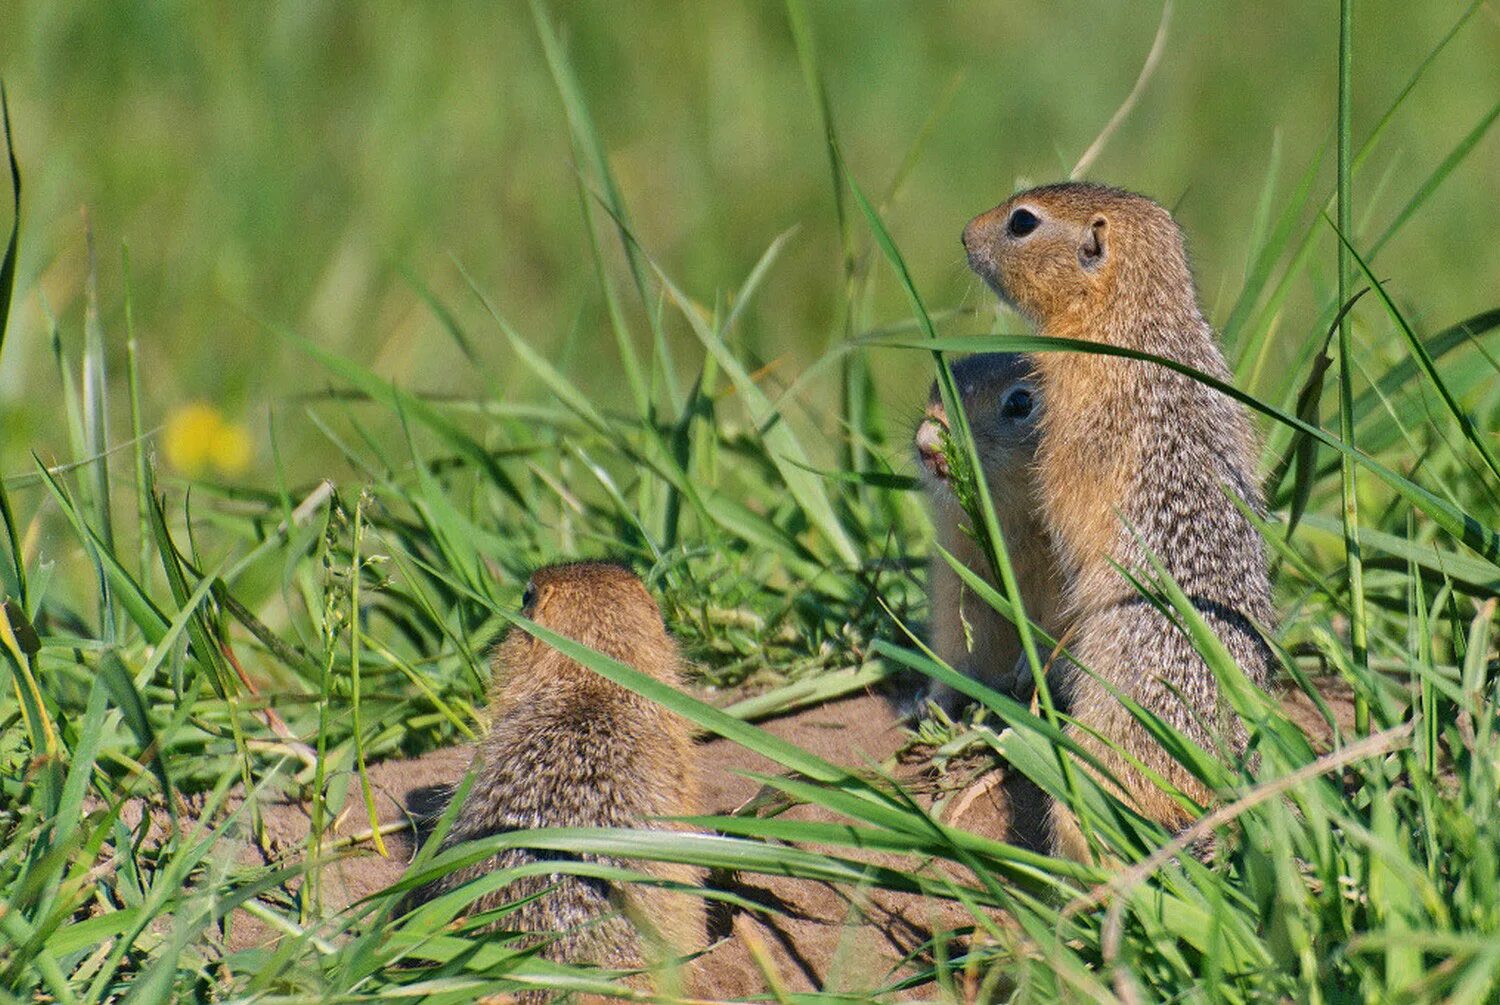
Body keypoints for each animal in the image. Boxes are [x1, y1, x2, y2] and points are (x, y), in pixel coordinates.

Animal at [912, 354, 1068, 717]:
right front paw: (934, 701)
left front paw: (1032, 666)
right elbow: (957, 637)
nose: (927, 444)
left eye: (1020, 402)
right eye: (934, 386)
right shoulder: (956, 573)